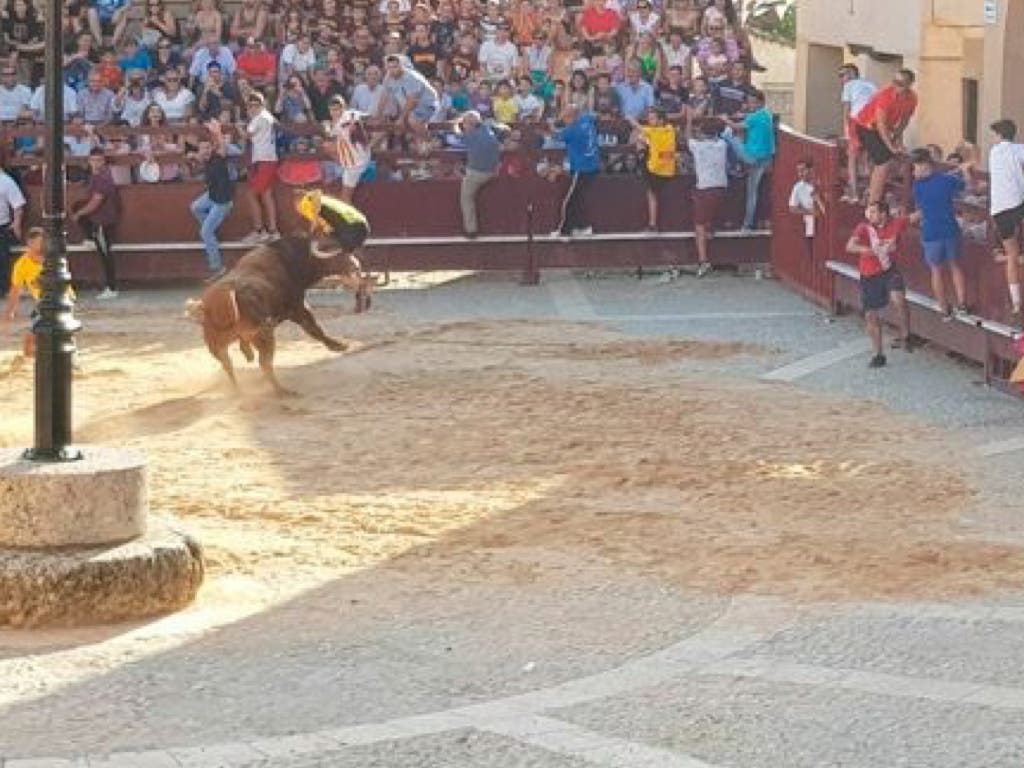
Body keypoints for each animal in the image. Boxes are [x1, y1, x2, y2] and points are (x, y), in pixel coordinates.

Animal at [188, 234, 364, 397]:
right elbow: (314, 328)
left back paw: (240, 391)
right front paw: (339, 345)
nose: (357, 266)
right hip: (264, 335)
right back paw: (282, 391)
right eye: (340, 254)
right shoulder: (297, 307)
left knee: (228, 365)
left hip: (216, 345)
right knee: (264, 364)